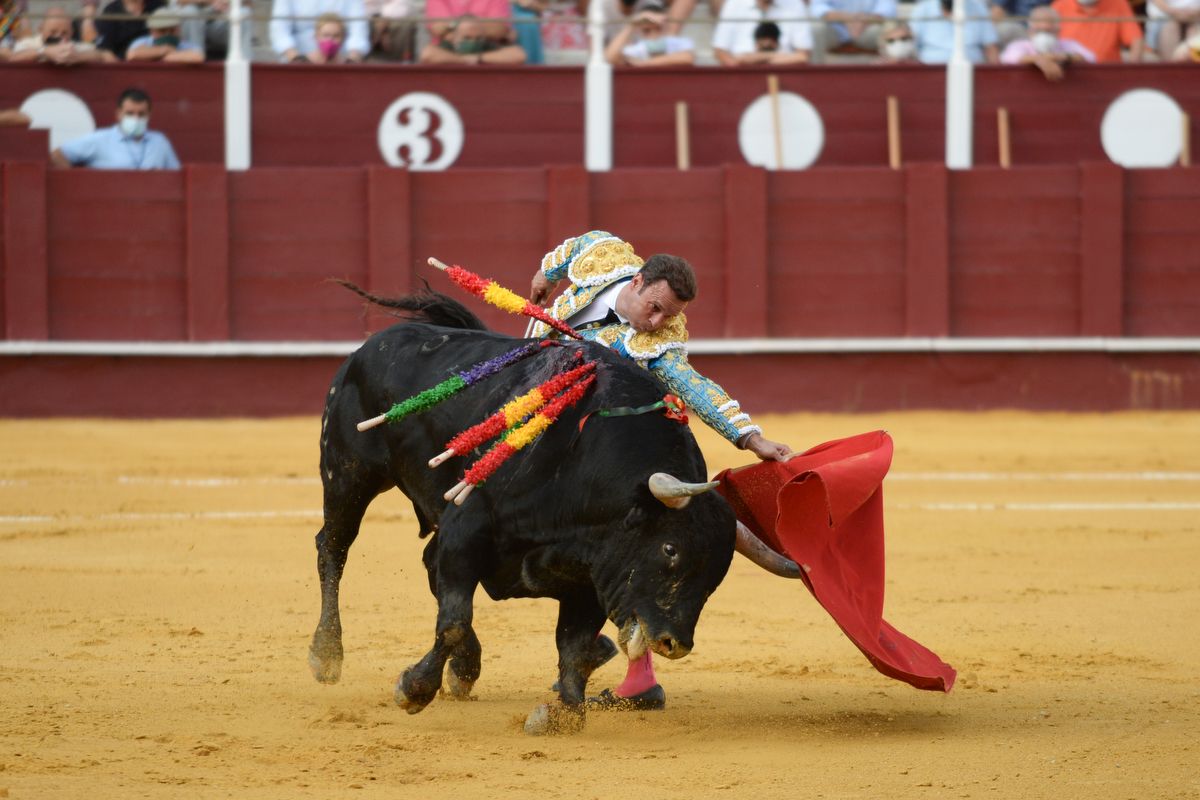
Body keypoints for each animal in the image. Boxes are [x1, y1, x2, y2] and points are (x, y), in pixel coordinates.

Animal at [309, 292, 777, 734]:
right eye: (670, 549)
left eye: (718, 571)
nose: (674, 643)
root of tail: (374, 344)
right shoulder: (466, 532)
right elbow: (456, 618)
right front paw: (414, 689)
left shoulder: (591, 576)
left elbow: (573, 646)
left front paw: (562, 715)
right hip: (348, 473)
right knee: (333, 547)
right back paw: (326, 654)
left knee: (424, 564)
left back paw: (465, 669)